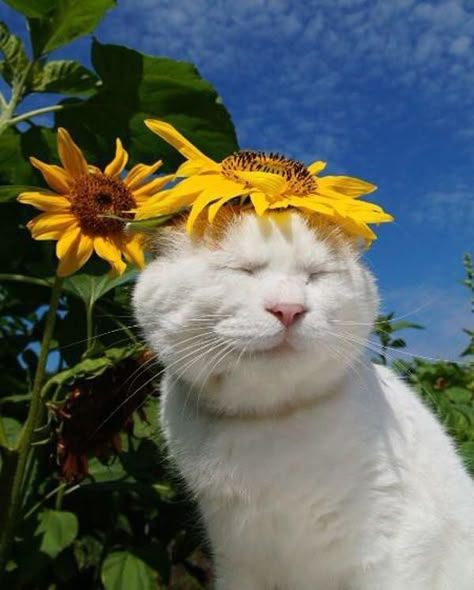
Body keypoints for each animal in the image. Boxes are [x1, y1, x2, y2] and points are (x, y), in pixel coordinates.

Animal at [133, 213, 474, 590]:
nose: (289, 309)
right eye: (243, 269)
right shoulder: (237, 563)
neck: (269, 426)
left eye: (316, 275)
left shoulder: (397, 546)